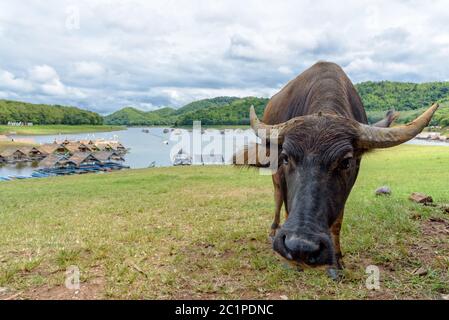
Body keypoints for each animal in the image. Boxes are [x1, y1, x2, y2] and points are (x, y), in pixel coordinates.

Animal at [234, 61, 438, 276]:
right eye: (286, 157)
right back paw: (273, 230)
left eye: (346, 162)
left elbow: (338, 221)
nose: (301, 246)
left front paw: (336, 262)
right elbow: (287, 204)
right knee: (278, 195)